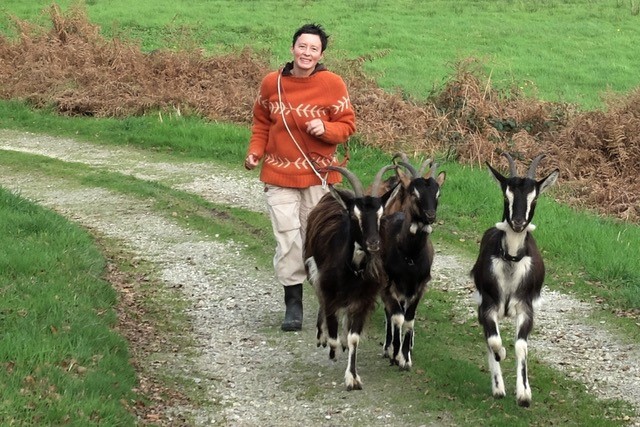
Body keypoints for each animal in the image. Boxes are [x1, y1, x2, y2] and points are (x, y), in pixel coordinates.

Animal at [380, 155, 444, 370]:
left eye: (438, 194)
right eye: (414, 193)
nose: (430, 215)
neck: (410, 256)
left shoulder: (419, 286)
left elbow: (409, 320)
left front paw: (406, 358)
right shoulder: (389, 285)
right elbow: (397, 317)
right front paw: (395, 353)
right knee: (390, 314)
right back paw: (388, 347)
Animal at [470, 154, 560, 408]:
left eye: (534, 197)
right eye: (505, 195)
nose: (518, 222)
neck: (510, 259)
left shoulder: (526, 308)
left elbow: (521, 346)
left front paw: (524, 394)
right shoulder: (488, 305)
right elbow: (493, 341)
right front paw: (501, 359)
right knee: (489, 338)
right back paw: (498, 387)